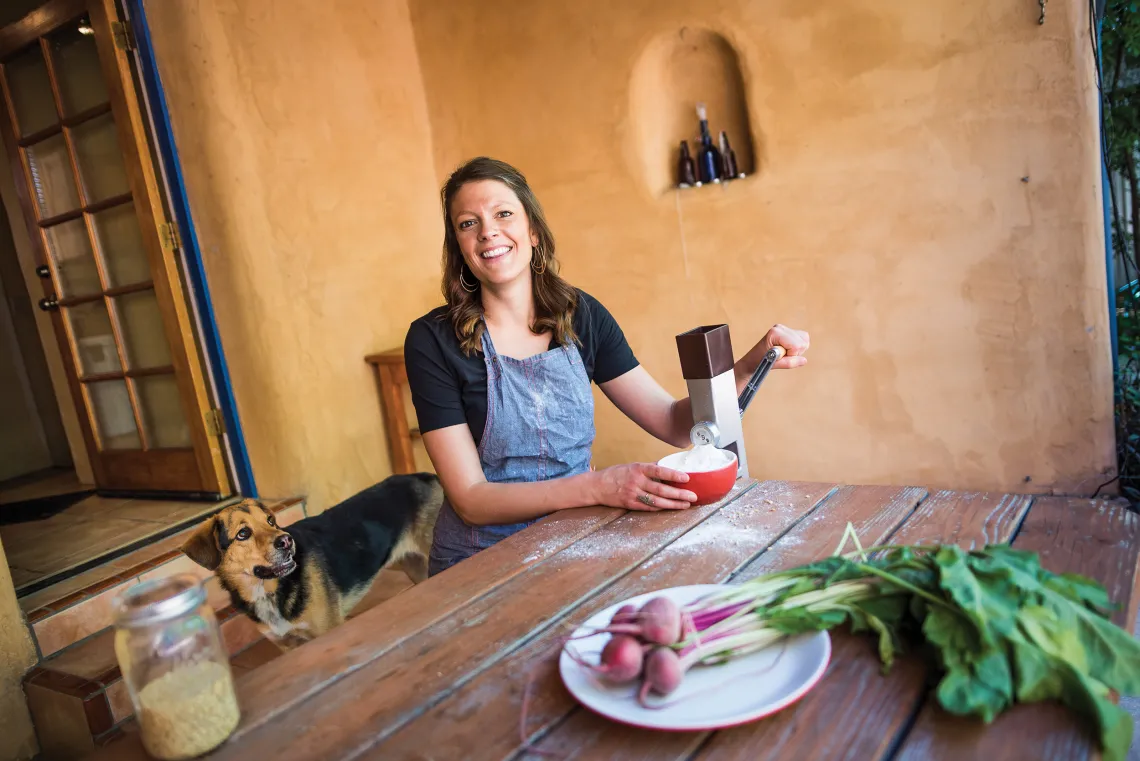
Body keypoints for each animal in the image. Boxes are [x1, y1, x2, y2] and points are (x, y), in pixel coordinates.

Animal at [180, 476, 442, 647]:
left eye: (270, 521)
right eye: (243, 533)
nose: (287, 541)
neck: (267, 591)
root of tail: (425, 476)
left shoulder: (329, 630)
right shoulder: (288, 645)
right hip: (417, 567)